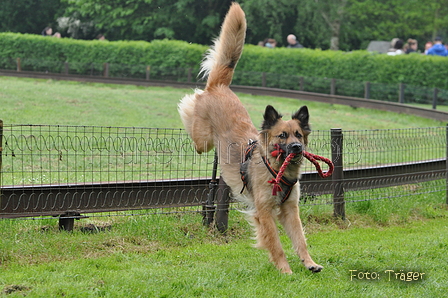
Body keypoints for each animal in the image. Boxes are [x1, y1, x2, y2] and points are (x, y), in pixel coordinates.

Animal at [178, 2, 322, 274]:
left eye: (298, 135)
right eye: (282, 136)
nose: (296, 148)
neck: (276, 170)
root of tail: (220, 87)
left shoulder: (290, 209)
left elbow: (300, 239)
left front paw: (310, 263)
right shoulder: (263, 212)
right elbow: (276, 244)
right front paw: (285, 270)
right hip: (202, 140)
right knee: (191, 117)